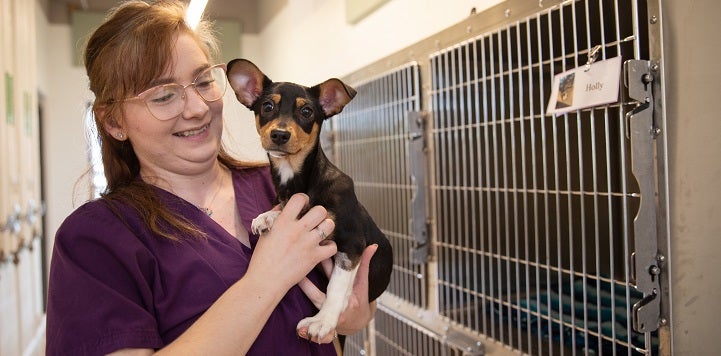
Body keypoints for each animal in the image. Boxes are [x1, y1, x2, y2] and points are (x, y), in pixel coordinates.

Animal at [226, 59, 390, 340]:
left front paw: (322, 321)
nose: (280, 135)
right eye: (267, 106)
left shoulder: (352, 242)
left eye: (306, 112)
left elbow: (336, 287)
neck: (296, 177)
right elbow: (286, 206)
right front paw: (267, 216)